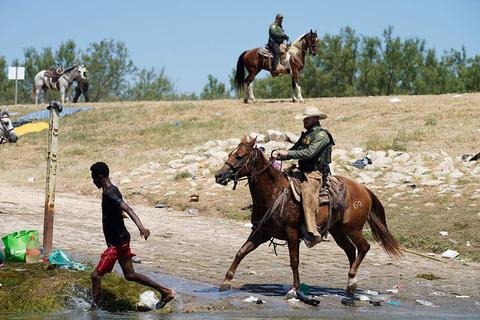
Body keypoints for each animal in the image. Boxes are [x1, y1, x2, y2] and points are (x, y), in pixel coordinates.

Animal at [215, 136, 402, 304]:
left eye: (240, 156)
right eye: (231, 154)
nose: (219, 175)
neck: (274, 192)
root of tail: (363, 189)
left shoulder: (291, 234)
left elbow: (294, 261)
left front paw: (293, 290)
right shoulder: (262, 232)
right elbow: (241, 252)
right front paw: (226, 282)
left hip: (353, 229)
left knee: (364, 247)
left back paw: (351, 281)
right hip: (337, 231)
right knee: (350, 250)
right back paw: (350, 286)